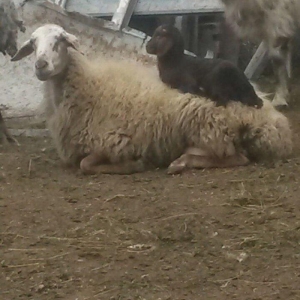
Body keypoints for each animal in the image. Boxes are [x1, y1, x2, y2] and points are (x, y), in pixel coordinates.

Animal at [9, 25, 292, 176]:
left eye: (59, 41)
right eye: (32, 44)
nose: (41, 66)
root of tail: (270, 115)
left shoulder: (115, 141)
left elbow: (86, 164)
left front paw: (134, 164)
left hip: (210, 126)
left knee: (237, 157)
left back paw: (182, 161)